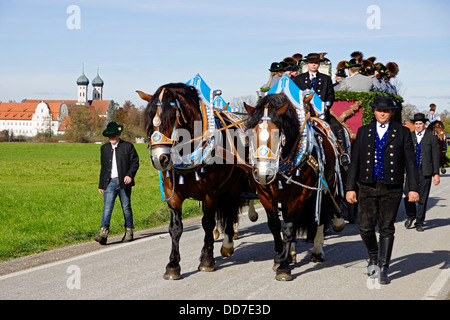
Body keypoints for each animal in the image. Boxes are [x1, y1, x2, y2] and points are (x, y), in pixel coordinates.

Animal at [138, 83, 250, 280]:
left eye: (170, 117)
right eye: (150, 121)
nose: (160, 159)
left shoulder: (210, 194)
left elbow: (208, 223)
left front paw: (207, 260)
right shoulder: (172, 194)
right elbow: (175, 228)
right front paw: (173, 266)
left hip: (233, 187)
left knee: (230, 212)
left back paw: (227, 245)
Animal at [244, 92, 342, 280]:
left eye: (278, 135)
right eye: (251, 135)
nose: (264, 173)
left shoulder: (298, 196)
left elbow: (289, 228)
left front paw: (283, 268)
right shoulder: (265, 194)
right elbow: (275, 226)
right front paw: (279, 258)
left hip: (325, 190)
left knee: (321, 215)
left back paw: (317, 251)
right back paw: (291, 254)